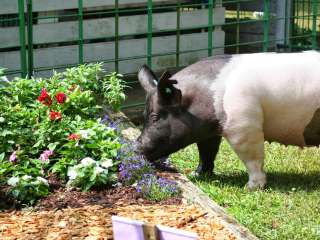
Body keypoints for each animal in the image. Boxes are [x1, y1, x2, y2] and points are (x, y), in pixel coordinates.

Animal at [136, 51, 320, 189]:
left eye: (155, 117)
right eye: (144, 115)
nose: (136, 146)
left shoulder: (243, 127)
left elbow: (253, 159)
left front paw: (250, 188)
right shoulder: (209, 132)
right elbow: (207, 152)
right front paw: (197, 174)